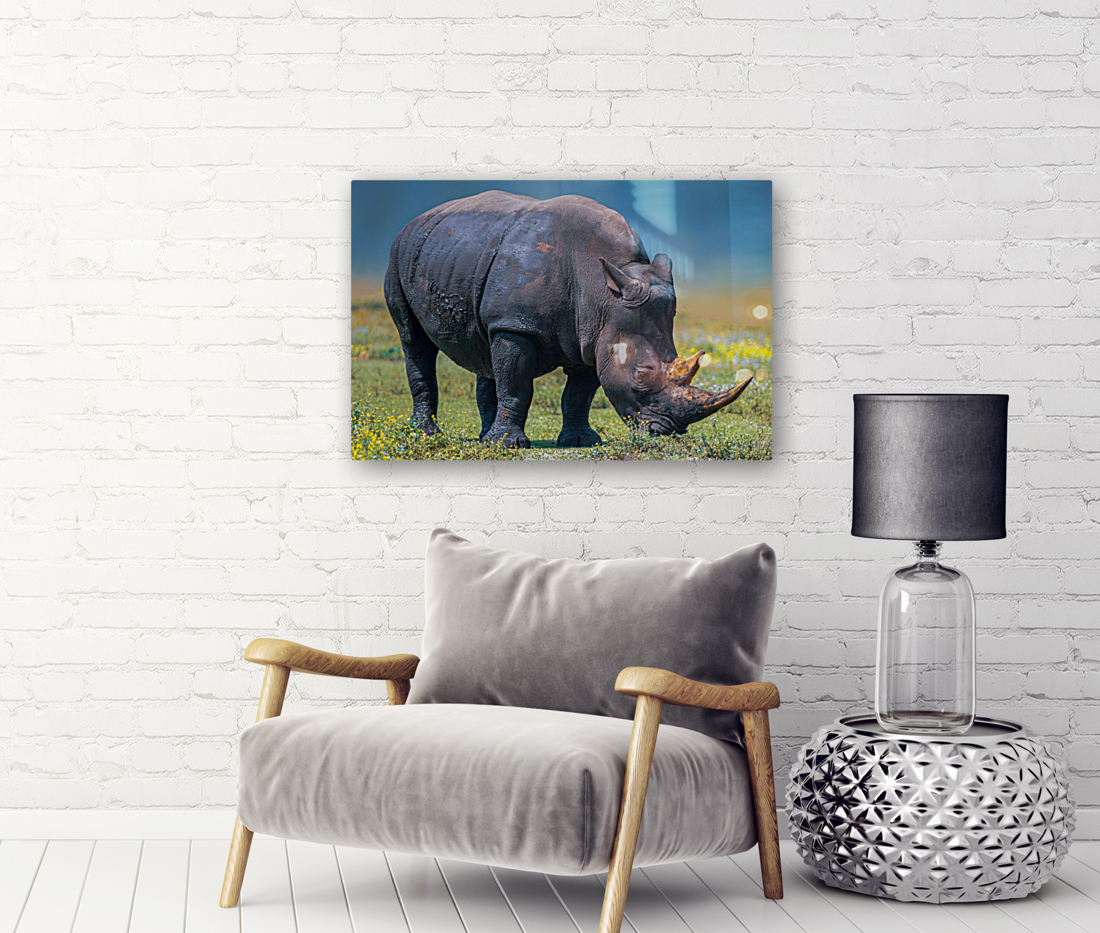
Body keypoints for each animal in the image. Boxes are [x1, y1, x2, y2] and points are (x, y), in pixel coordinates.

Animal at [383, 190, 753, 448]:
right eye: (640, 377)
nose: (664, 432)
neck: (604, 292)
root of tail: (417, 220)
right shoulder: (518, 324)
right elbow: (517, 384)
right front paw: (509, 446)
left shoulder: (594, 336)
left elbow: (578, 394)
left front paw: (580, 441)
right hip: (399, 255)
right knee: (414, 341)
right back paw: (427, 435)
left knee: (486, 348)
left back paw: (484, 437)